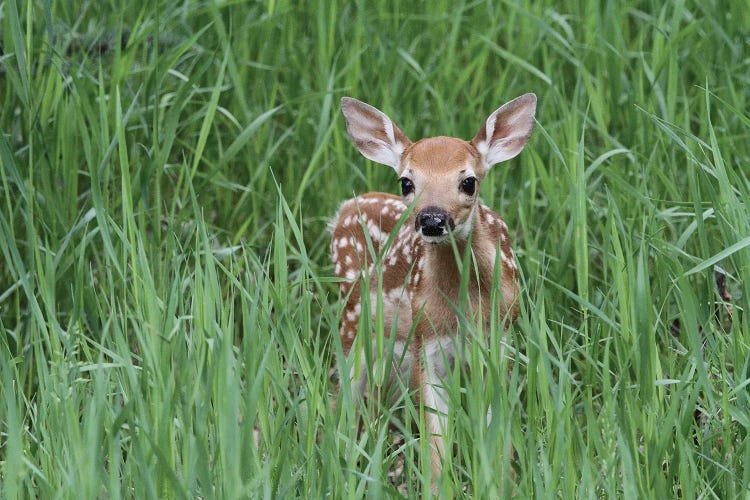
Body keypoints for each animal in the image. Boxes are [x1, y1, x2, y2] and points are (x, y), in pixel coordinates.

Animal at [332, 93, 536, 484]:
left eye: (469, 181)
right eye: (406, 182)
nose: (431, 219)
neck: (465, 306)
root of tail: (347, 207)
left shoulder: (499, 339)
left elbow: (497, 429)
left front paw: (502, 481)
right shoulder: (427, 343)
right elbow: (436, 445)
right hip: (353, 325)